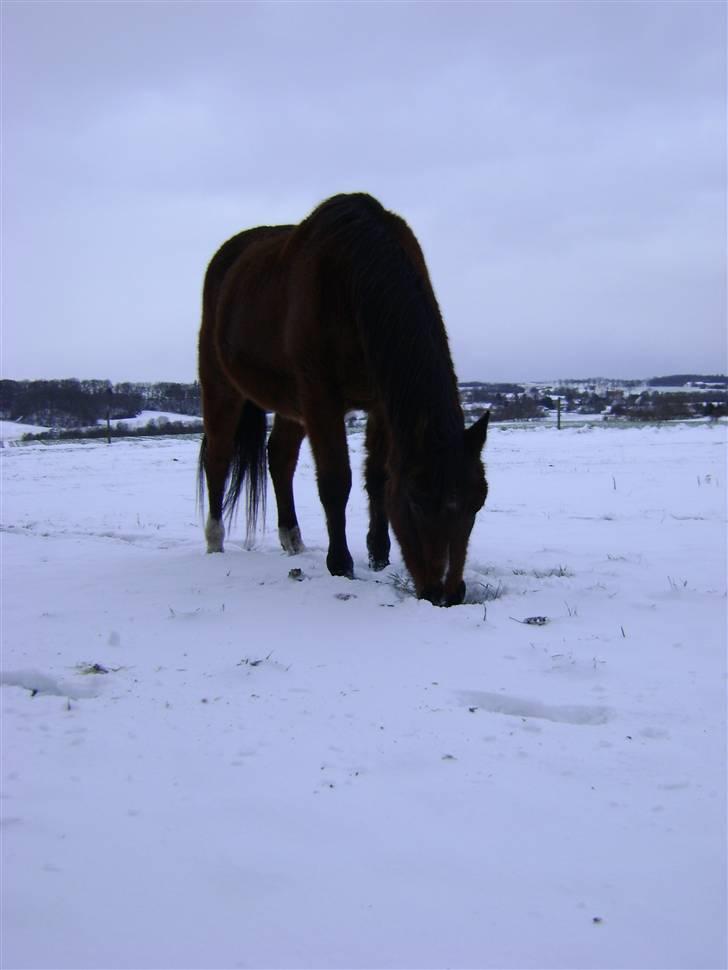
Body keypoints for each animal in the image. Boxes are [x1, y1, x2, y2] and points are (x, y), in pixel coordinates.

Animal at [197, 193, 489, 606]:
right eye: (417, 500)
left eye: (477, 501)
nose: (446, 596)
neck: (351, 277)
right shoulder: (321, 399)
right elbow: (336, 480)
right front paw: (341, 565)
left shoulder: (381, 404)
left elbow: (379, 477)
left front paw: (379, 554)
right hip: (222, 385)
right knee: (218, 458)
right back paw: (215, 541)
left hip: (292, 404)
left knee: (279, 457)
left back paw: (293, 540)